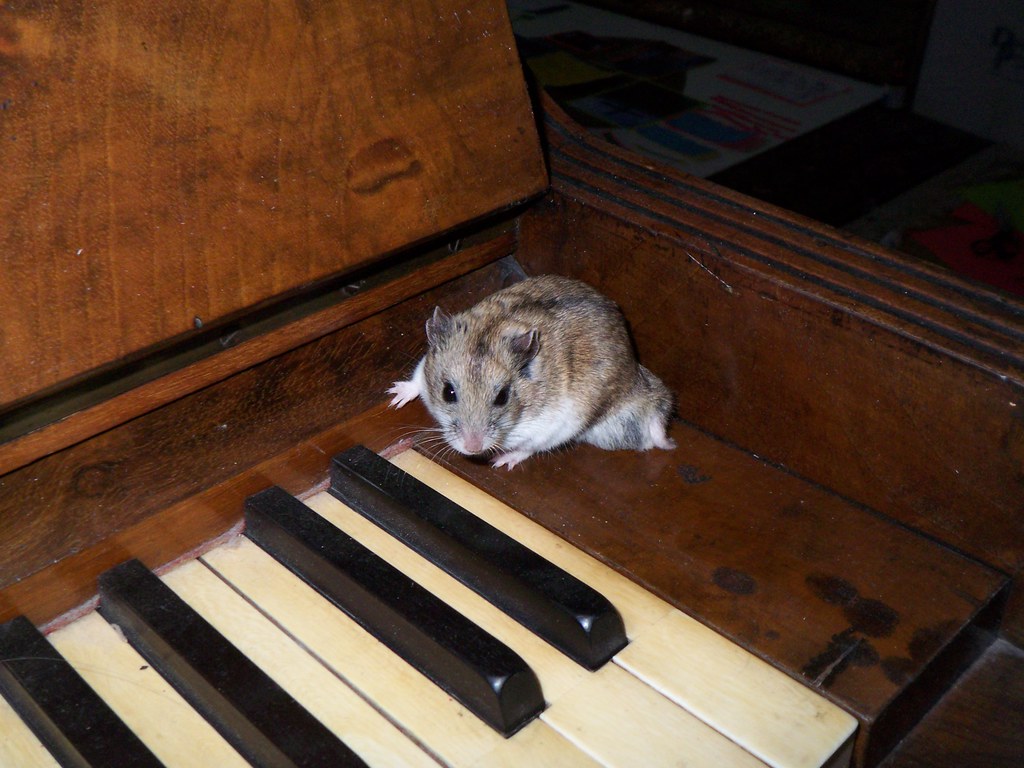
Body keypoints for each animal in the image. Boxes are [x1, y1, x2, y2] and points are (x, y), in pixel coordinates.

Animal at [387, 275, 675, 469]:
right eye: (448, 392)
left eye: (502, 397)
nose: (472, 448)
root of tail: (634, 374)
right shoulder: (425, 363)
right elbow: (417, 380)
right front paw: (394, 397)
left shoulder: (548, 425)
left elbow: (529, 446)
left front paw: (498, 460)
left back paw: (503, 460)